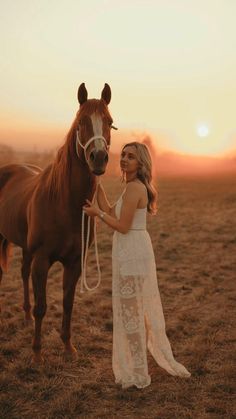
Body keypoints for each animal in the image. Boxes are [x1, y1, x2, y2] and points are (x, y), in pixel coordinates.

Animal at [0, 83, 114, 362]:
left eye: (109, 121)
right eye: (81, 122)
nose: (98, 158)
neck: (64, 204)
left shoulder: (74, 262)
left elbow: (67, 303)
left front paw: (68, 347)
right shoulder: (42, 260)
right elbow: (43, 306)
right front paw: (37, 354)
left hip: (26, 248)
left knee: (23, 273)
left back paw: (26, 317)